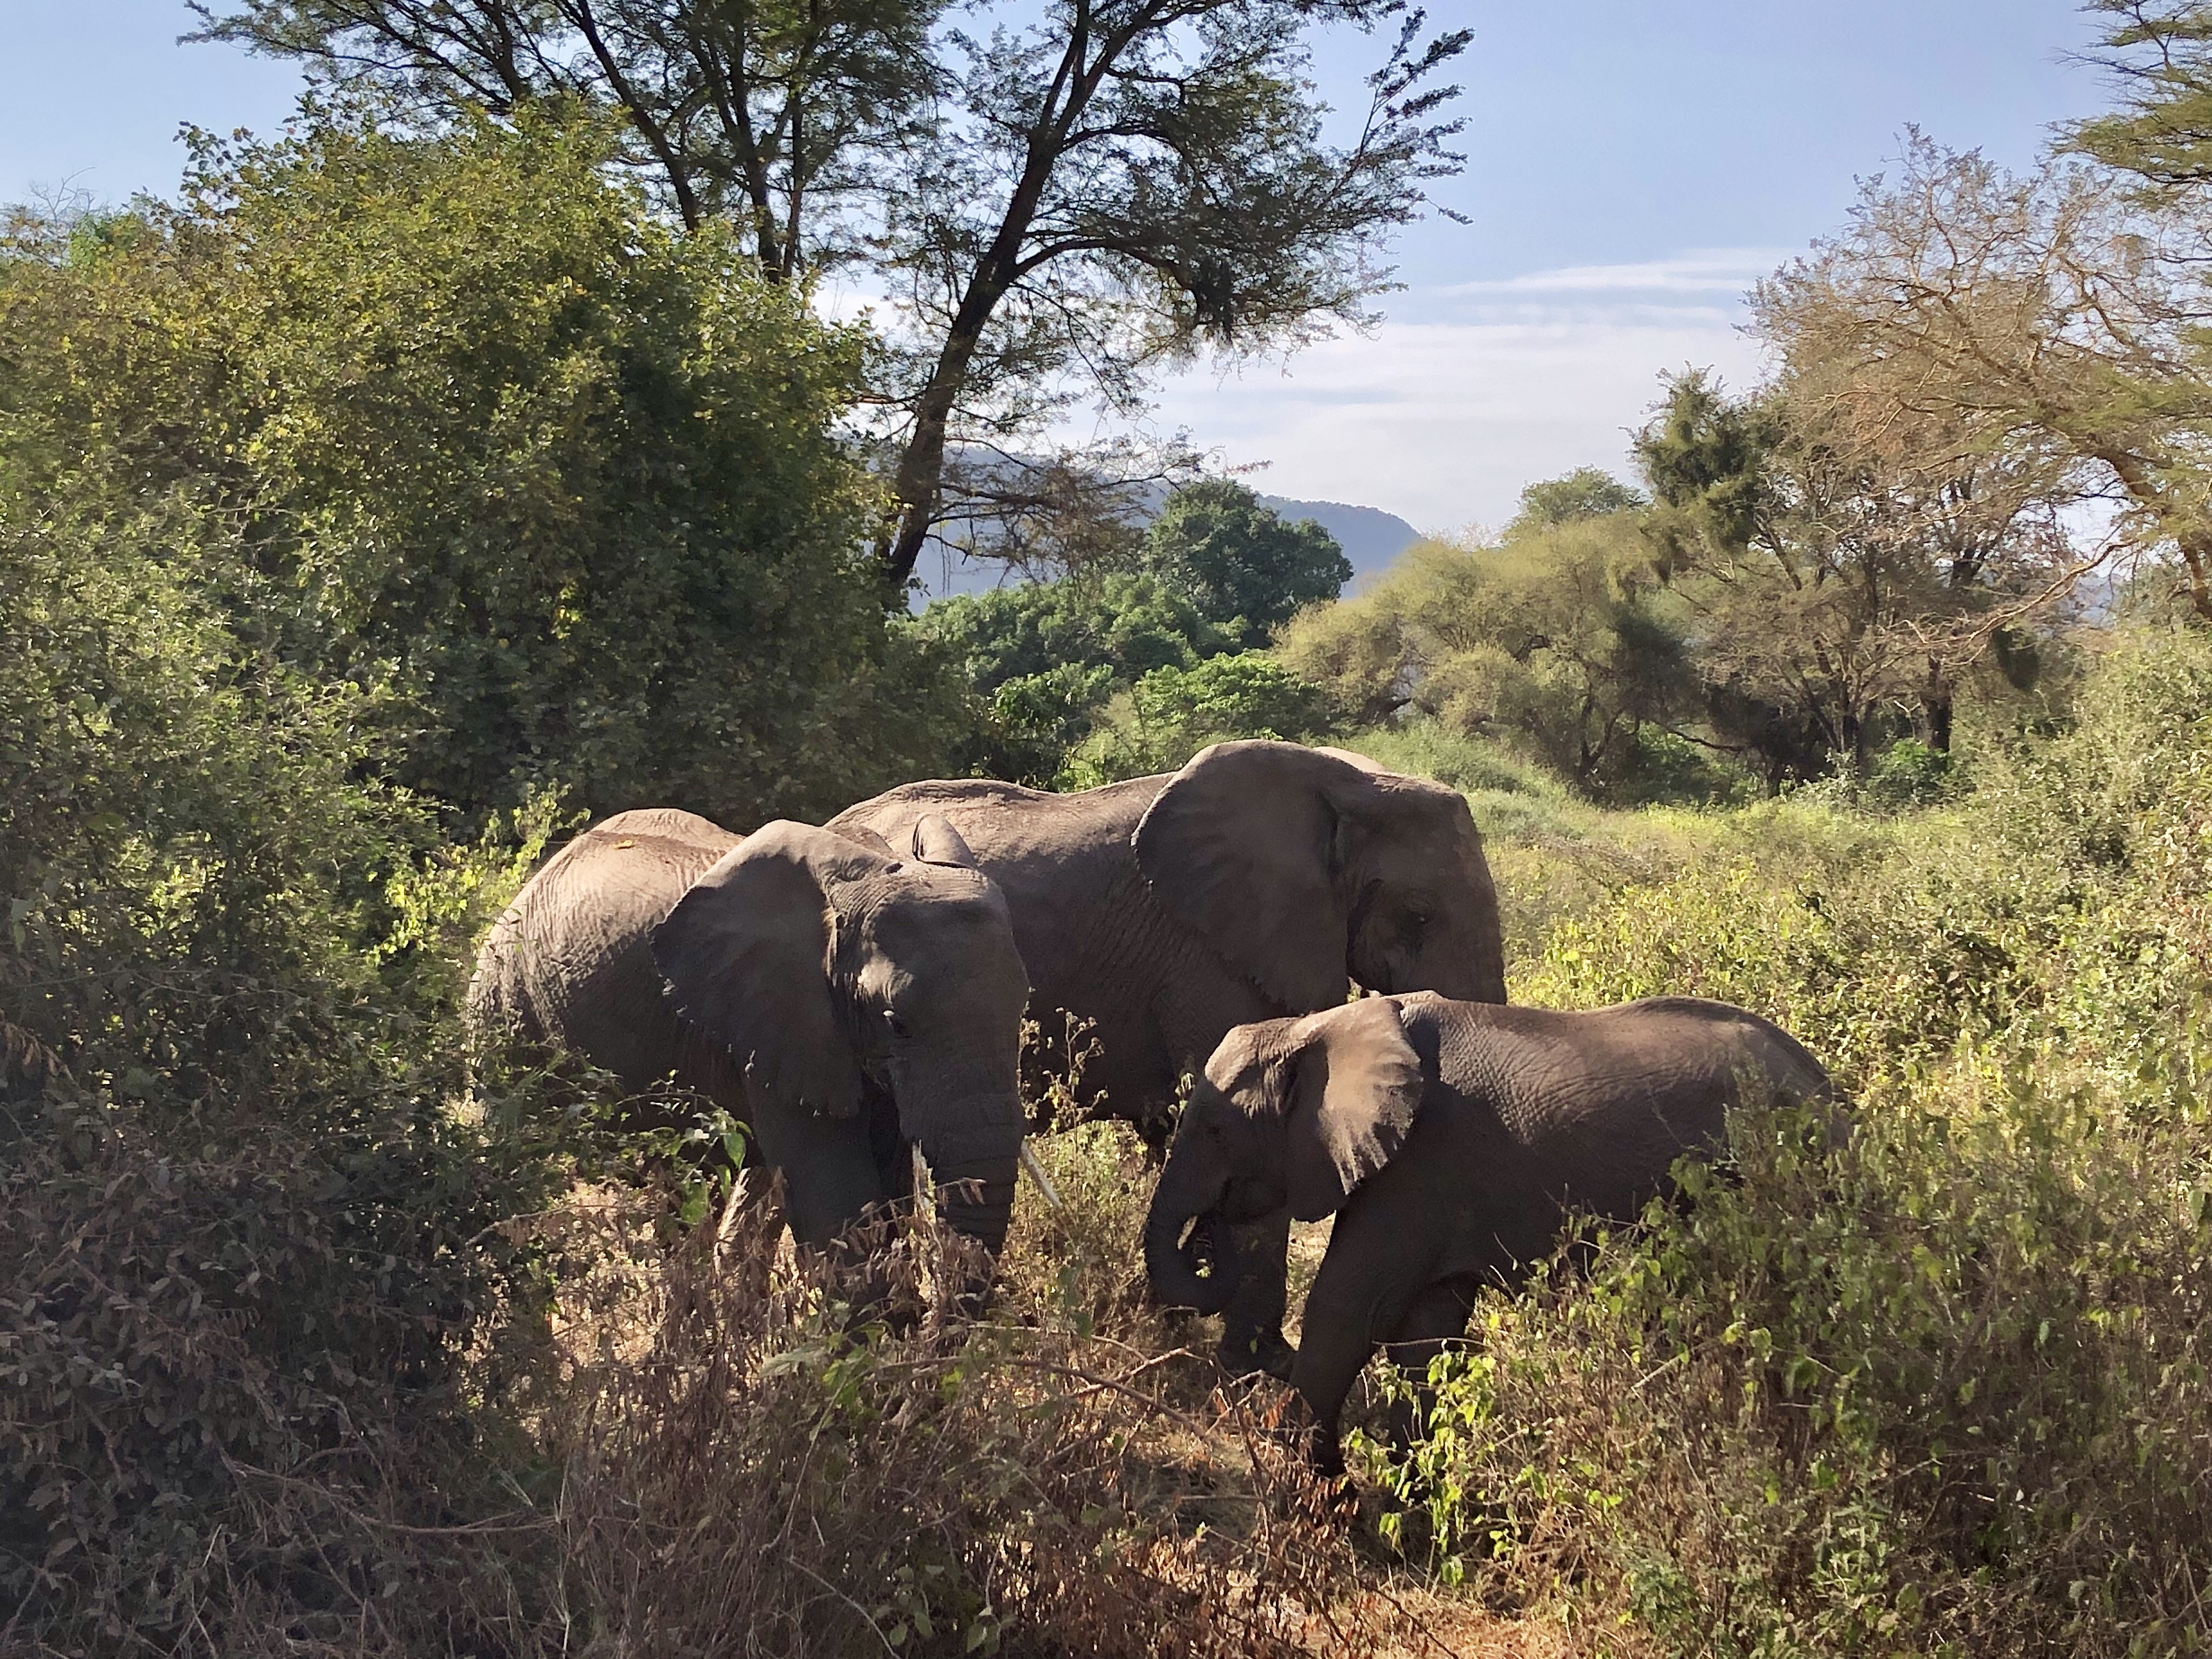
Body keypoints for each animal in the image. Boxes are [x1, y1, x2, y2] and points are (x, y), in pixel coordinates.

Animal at [1142, 992, 1839, 1473]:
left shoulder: (1422, 1163)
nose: (1213, 1227)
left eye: (1215, 1130)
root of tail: (1832, 1093)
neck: (1320, 1027)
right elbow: (1425, 1331)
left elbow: (1351, 1310)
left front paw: (1308, 1492)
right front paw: (1405, 1515)